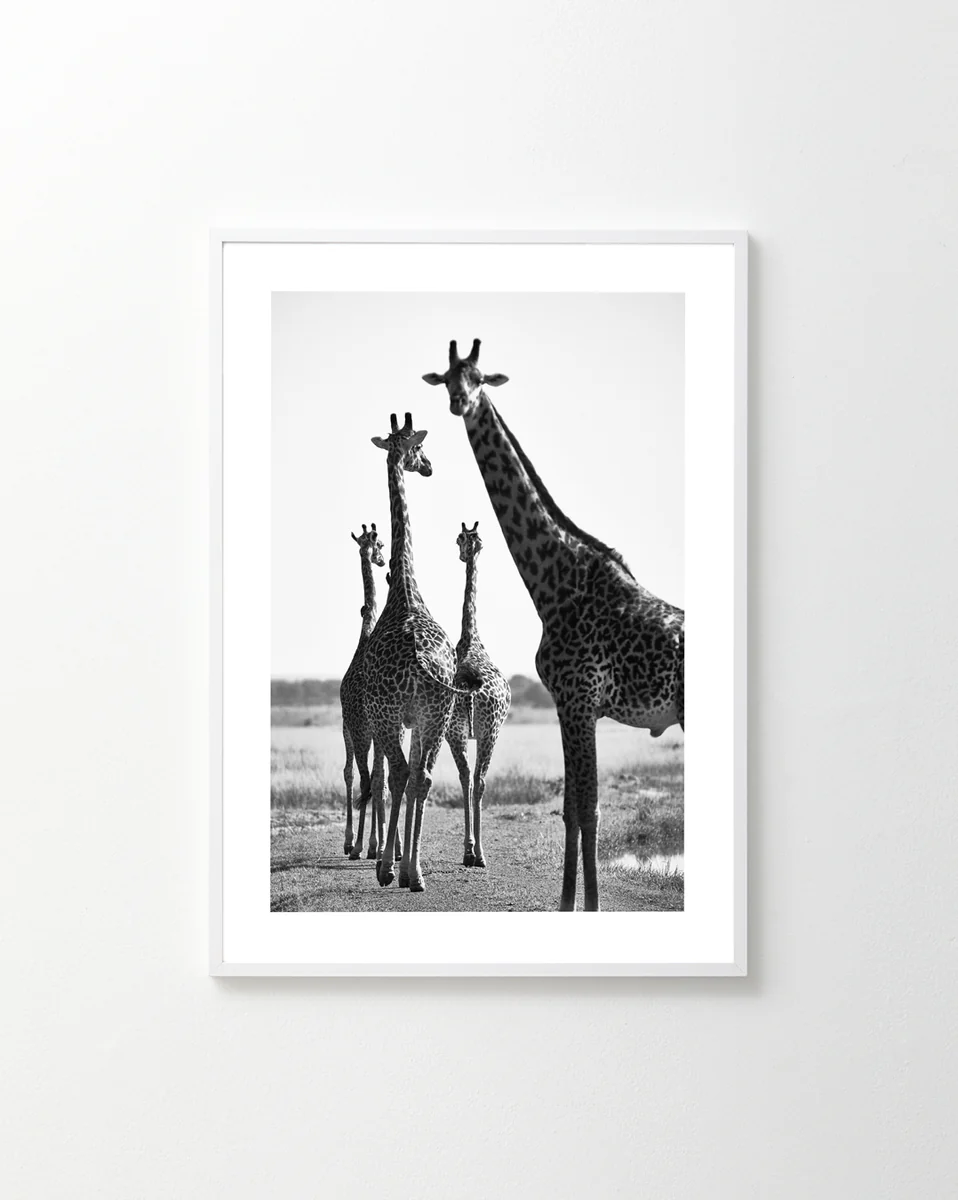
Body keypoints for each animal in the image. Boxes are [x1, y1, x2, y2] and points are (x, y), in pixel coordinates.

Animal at [424, 340, 684, 911]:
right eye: (449, 378)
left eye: (479, 378)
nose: (458, 402)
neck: (556, 584)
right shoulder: (572, 703)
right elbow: (573, 808)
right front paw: (572, 904)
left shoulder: (578, 699)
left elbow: (588, 808)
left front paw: (586, 906)